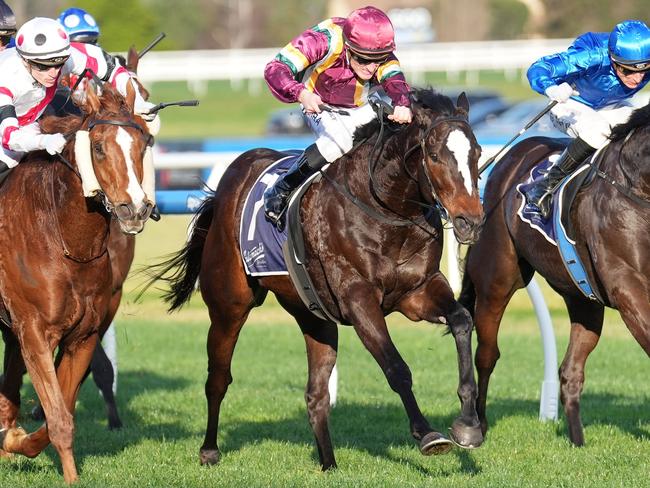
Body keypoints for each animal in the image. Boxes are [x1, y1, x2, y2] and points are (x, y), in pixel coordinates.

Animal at [149, 89, 484, 470]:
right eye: (435, 155)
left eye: (477, 153)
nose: (471, 221)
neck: (385, 208)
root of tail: (229, 182)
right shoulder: (358, 299)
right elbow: (396, 367)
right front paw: (428, 434)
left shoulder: (417, 290)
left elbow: (461, 320)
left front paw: (469, 424)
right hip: (228, 304)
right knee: (218, 377)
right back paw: (209, 449)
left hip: (313, 314)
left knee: (316, 393)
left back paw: (329, 464)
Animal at [456, 104, 648, 446]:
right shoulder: (629, 290)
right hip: (497, 279)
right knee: (487, 354)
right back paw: (476, 424)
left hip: (582, 296)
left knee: (570, 370)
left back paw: (578, 441)